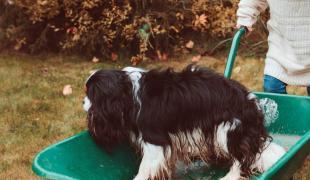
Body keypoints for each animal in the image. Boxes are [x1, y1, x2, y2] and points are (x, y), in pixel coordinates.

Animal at [83, 65, 286, 180]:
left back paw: (230, 176)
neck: (129, 92)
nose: (82, 102)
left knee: (241, 158)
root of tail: (251, 102)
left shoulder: (154, 140)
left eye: (89, 94)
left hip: (227, 130)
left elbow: (145, 168)